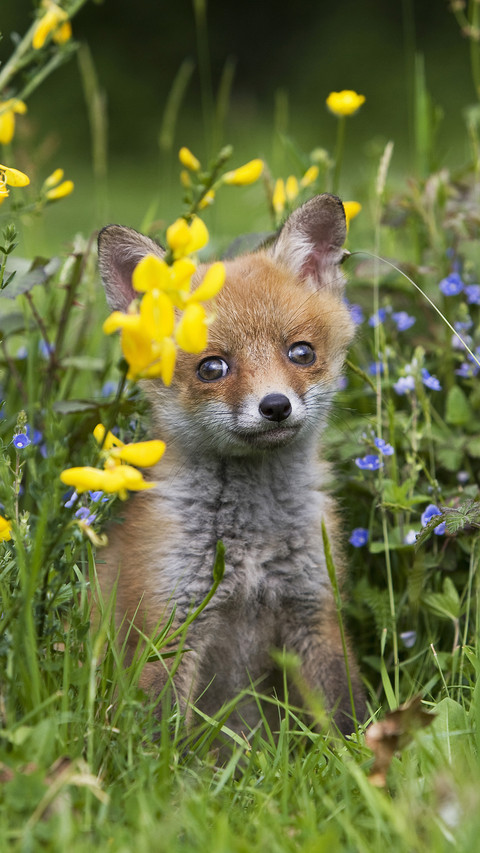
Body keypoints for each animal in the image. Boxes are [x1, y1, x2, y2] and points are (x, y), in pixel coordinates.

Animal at [97, 193, 366, 739]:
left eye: (300, 352)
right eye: (213, 367)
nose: (275, 406)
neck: (252, 546)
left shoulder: (314, 609)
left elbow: (342, 713)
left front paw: (365, 751)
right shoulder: (170, 623)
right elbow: (157, 733)